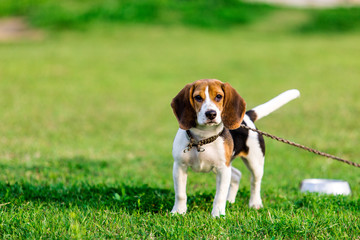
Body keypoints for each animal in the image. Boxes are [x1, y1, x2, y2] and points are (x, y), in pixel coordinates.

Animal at [170, 79, 300, 218]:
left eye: (219, 96)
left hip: (255, 163)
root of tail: (247, 117)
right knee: (237, 175)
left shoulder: (222, 169)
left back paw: (255, 203)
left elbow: (219, 195)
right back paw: (230, 200)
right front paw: (178, 212)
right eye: (198, 97)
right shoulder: (179, 166)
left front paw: (218, 215)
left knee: (255, 182)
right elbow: (180, 194)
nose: (211, 114)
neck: (202, 138)